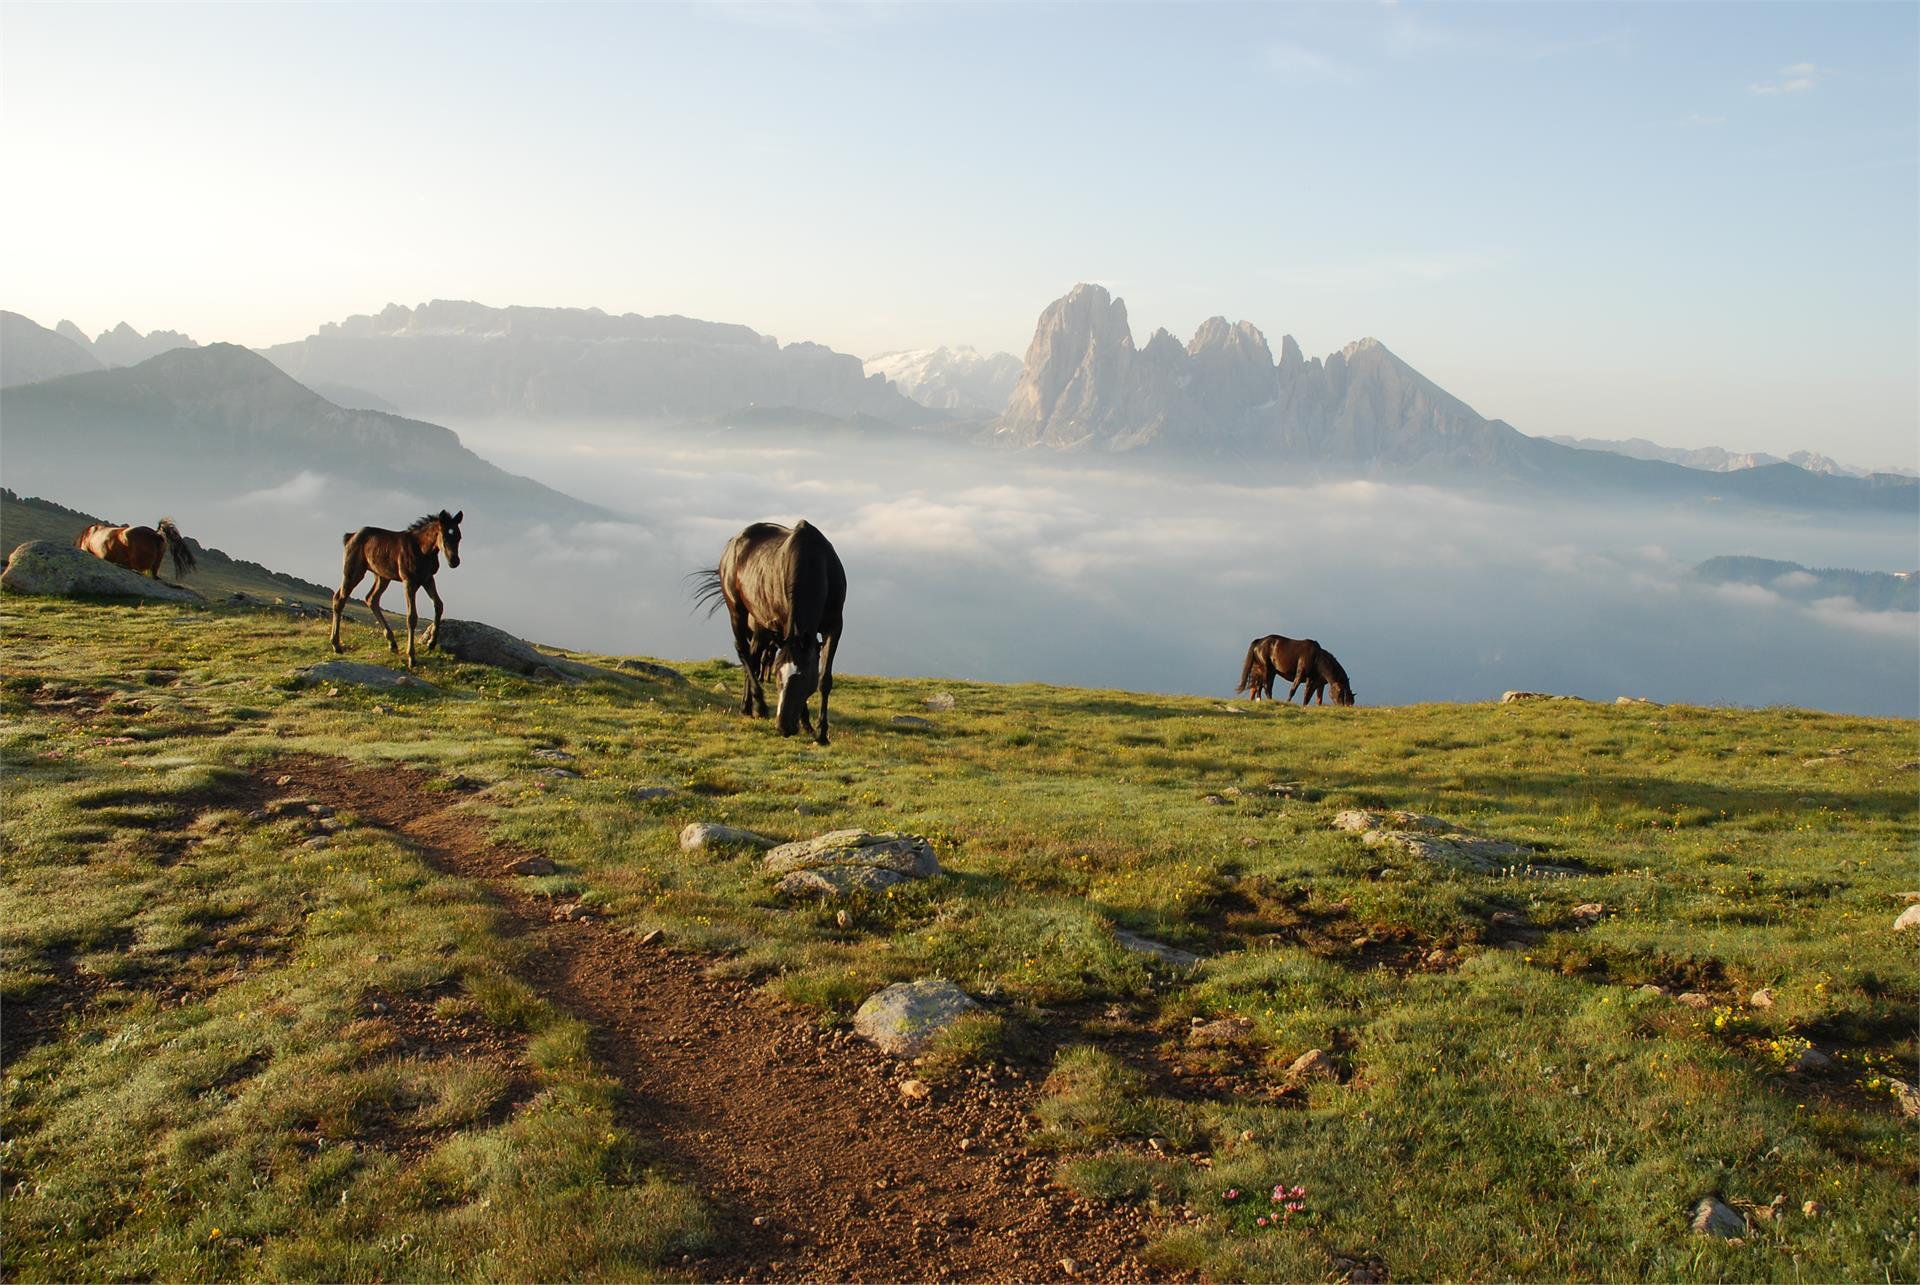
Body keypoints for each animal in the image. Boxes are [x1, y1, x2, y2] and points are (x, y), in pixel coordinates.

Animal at [330, 510, 464, 672]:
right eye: (444, 536)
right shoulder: (409, 581)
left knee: (371, 599)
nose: (454, 561)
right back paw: (336, 645)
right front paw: (411, 658)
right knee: (340, 599)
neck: (422, 550)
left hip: (382, 576)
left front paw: (431, 643)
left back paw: (392, 643)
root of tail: (350, 536)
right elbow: (412, 617)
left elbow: (439, 605)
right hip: (353, 572)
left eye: (459, 536)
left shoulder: (427, 579)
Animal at [691, 518, 840, 741]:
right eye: (778, 675)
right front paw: (806, 723)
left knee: (753, 657)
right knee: (744, 652)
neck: (814, 562)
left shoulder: (835, 626)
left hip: (760, 624)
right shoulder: (784, 627)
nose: (783, 727)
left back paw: (747, 706)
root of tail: (732, 544)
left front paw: (820, 732)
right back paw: (758, 706)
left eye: (803, 677)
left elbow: (824, 680)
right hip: (738, 612)